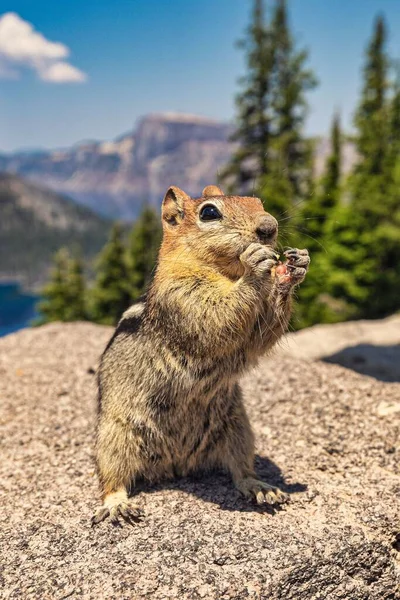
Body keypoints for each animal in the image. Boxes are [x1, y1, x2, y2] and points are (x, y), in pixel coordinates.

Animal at [93, 183, 310, 524]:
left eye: (257, 201)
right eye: (209, 213)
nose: (269, 227)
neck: (224, 272)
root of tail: (177, 466)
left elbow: (261, 334)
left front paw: (294, 267)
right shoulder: (182, 297)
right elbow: (217, 316)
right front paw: (255, 268)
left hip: (238, 428)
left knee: (239, 469)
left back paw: (259, 486)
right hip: (114, 436)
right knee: (113, 478)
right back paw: (117, 504)